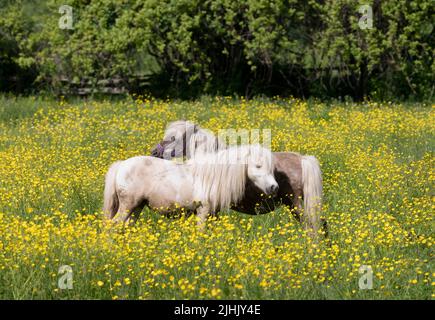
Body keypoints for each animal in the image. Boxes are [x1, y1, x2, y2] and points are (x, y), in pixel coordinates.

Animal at [104, 144, 278, 224]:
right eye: (258, 166)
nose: (274, 188)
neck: (212, 177)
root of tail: (121, 165)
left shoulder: (213, 213)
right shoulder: (203, 211)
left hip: (137, 207)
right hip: (128, 206)